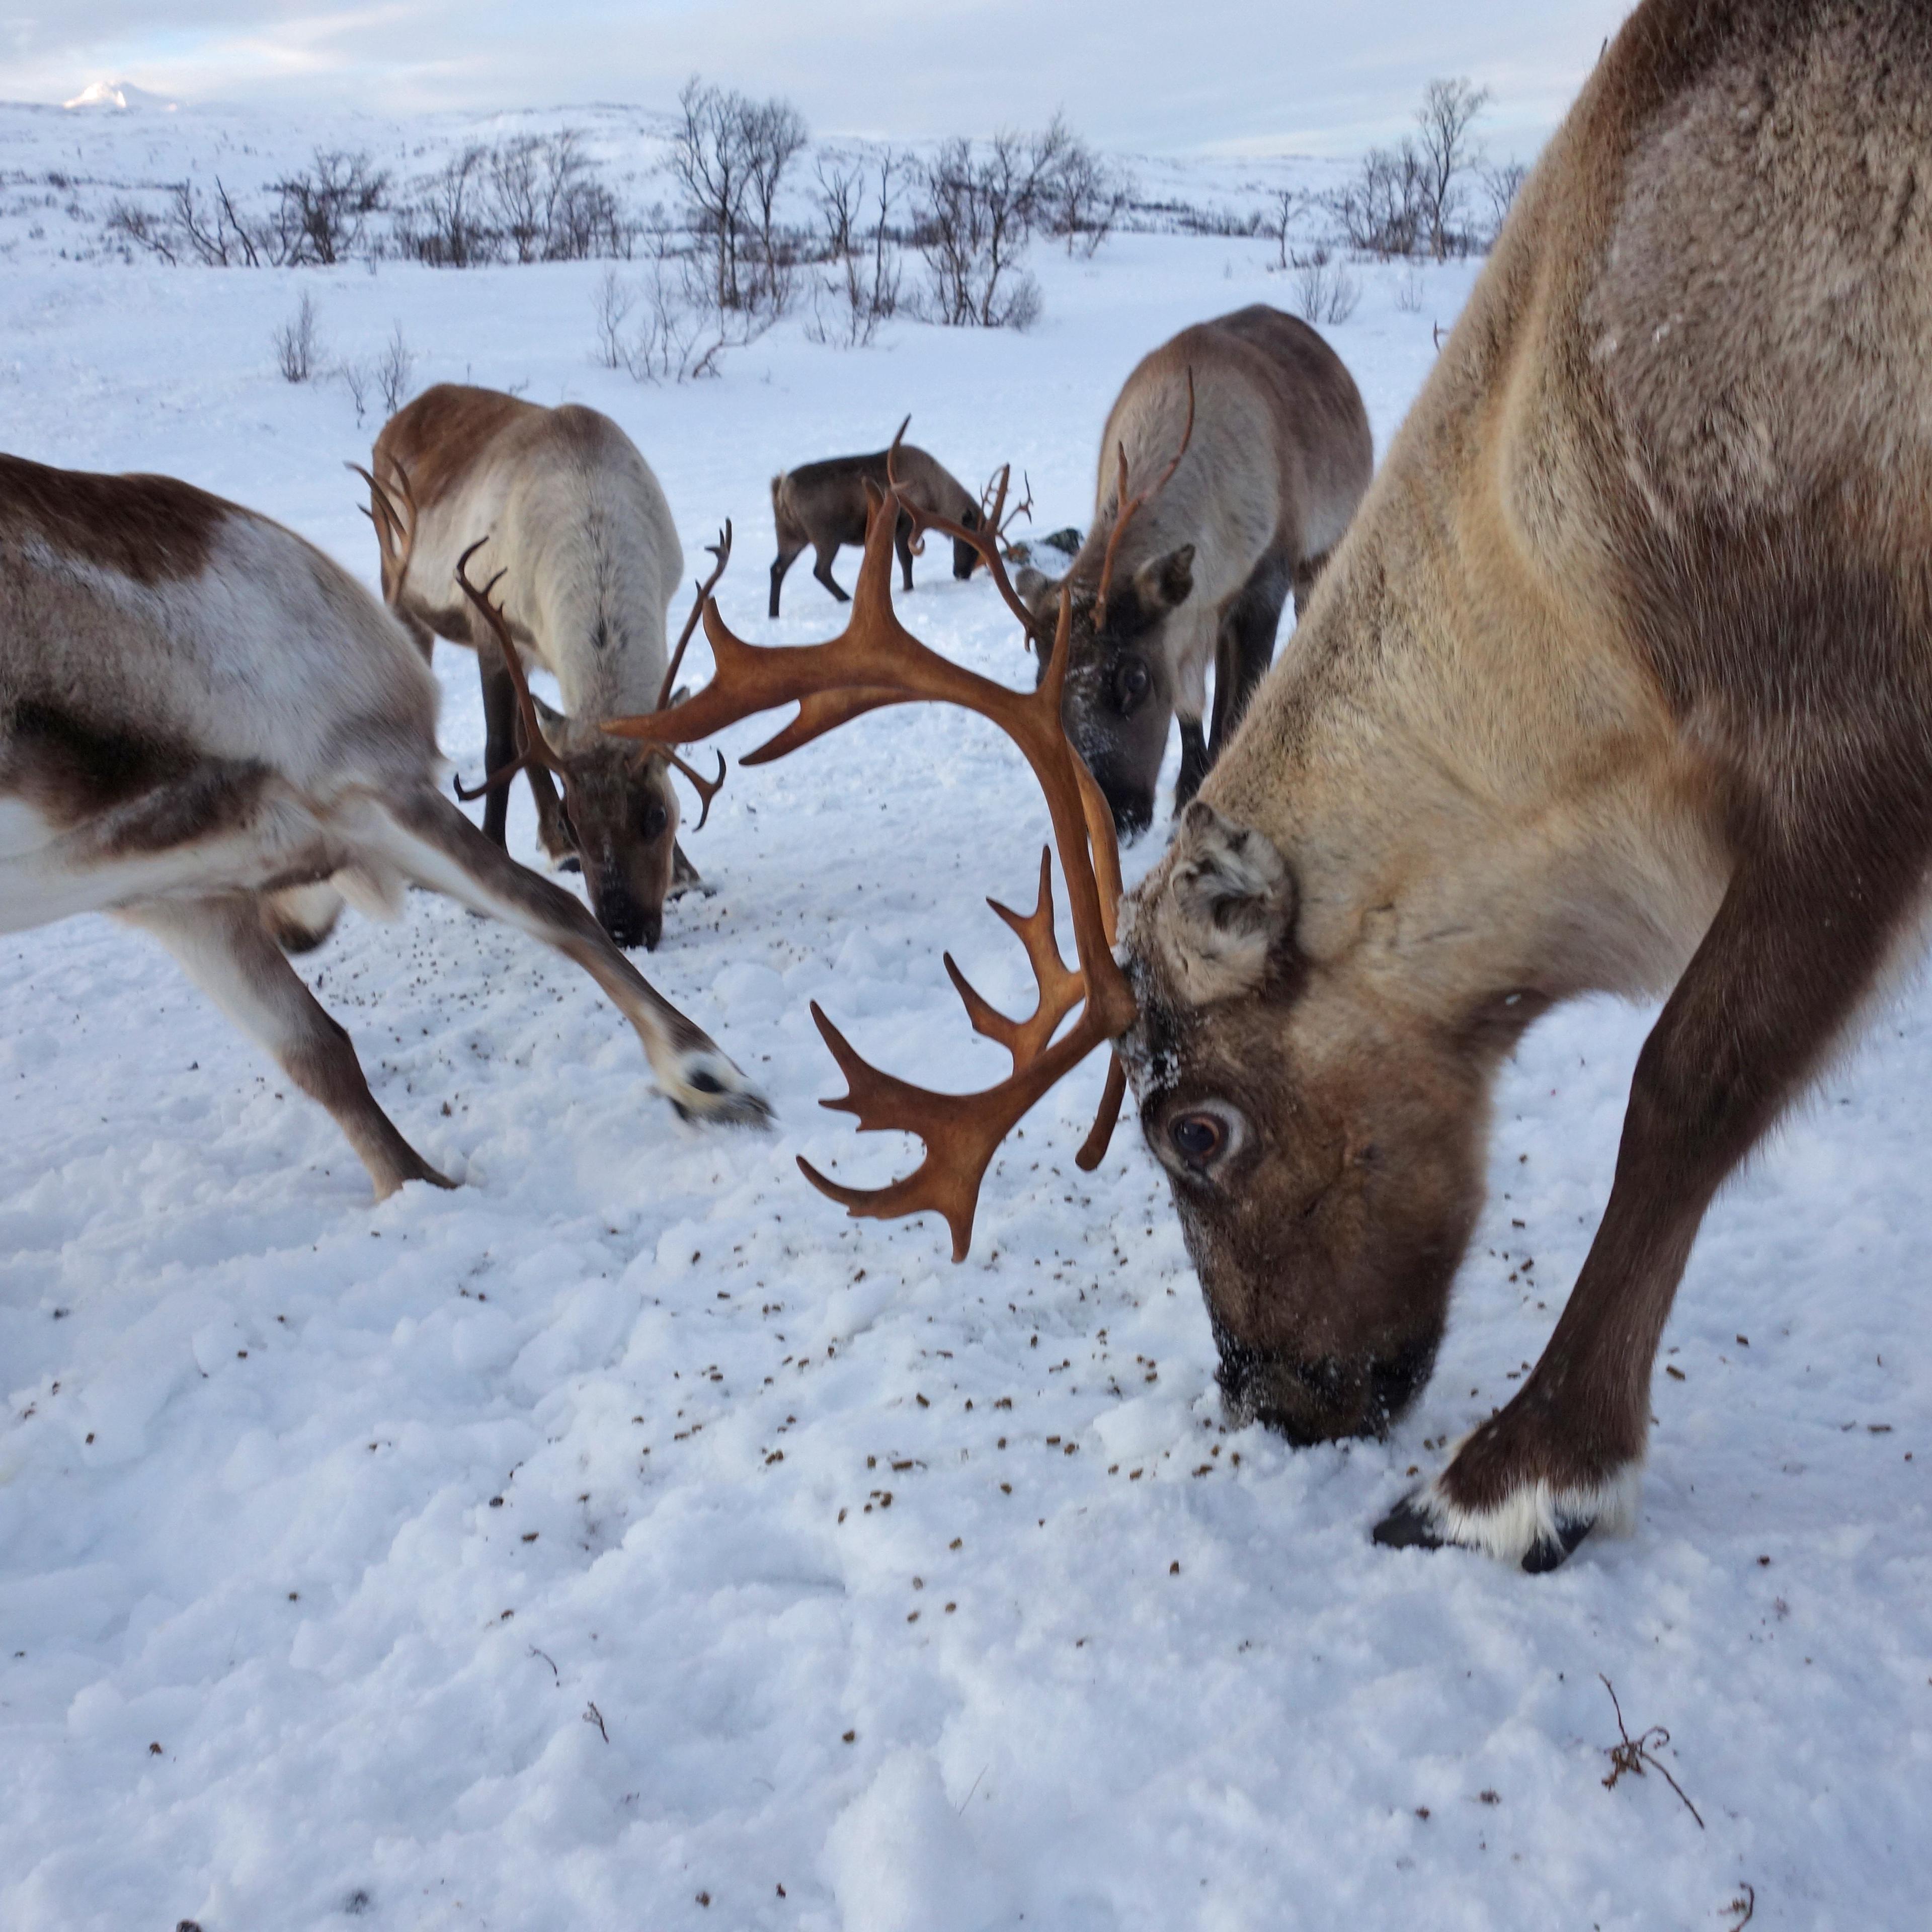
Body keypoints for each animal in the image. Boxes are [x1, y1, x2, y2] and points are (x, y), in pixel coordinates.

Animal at [0, 450, 770, 1203]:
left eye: (658, 816)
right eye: (581, 826)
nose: (291, 933)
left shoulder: (214, 875)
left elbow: (323, 1045)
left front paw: (705, 1077)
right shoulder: (321, 807)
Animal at [359, 384, 725, 953]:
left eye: (658, 815)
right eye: (576, 821)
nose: (624, 930)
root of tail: (406, 413)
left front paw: (686, 875)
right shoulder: (492, 629)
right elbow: (497, 751)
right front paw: (491, 876)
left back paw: (553, 849)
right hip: (399, 591)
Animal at [768, 419, 986, 617]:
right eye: (968, 542)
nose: (962, 574)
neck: (935, 497)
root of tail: (783, 490)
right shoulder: (906, 524)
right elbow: (906, 560)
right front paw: (908, 589)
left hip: (790, 536)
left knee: (777, 569)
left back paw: (774, 614)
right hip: (826, 537)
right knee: (820, 570)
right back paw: (847, 599)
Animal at [1014, 306, 1372, 839]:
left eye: (1135, 679)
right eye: (1043, 682)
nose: (1115, 817)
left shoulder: (1263, 587)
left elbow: (1240, 703)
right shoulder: (1188, 619)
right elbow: (1189, 709)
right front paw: (1187, 792)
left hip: (1321, 554)